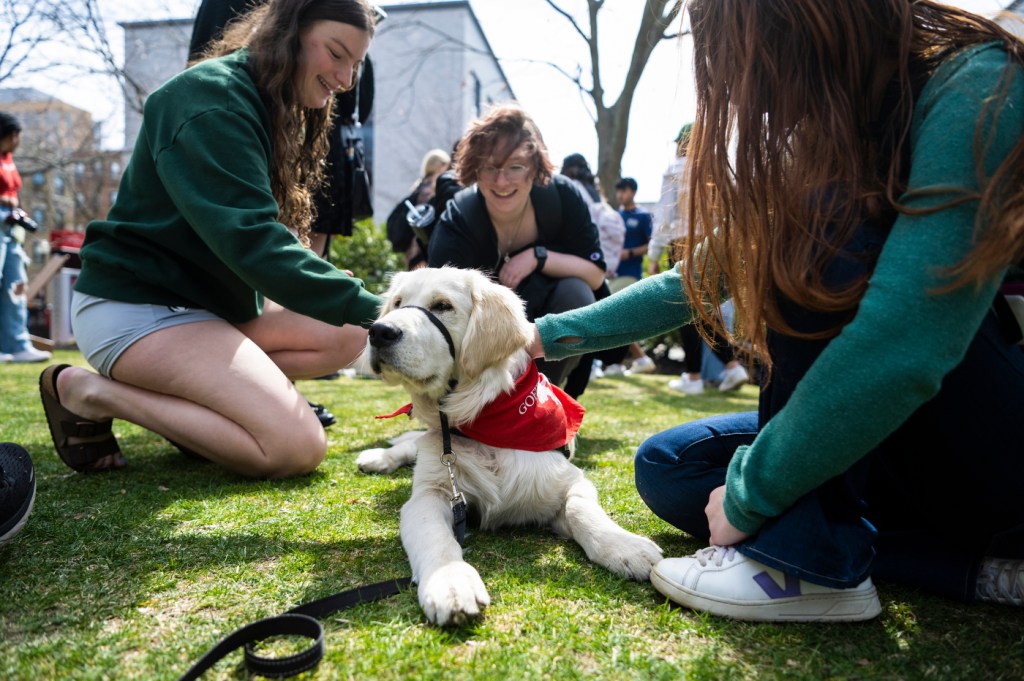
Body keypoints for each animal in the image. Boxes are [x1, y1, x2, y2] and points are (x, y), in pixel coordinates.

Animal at [360, 266, 663, 626]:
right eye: (397, 303)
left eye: (443, 306)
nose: (378, 332)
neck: (484, 424)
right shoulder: (428, 494)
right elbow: (436, 537)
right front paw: (450, 582)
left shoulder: (569, 480)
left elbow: (582, 509)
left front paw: (625, 545)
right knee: (410, 447)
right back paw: (379, 457)